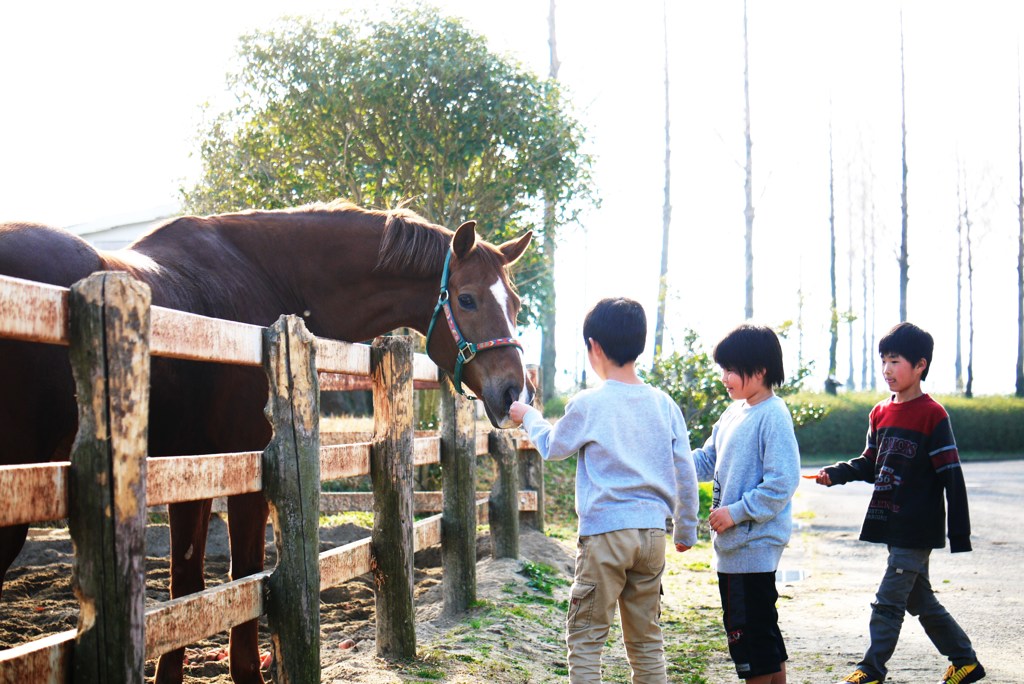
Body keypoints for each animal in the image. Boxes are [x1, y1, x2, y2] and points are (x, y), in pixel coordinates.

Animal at [0, 200, 532, 679]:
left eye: (516, 303)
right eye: (467, 298)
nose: (514, 391)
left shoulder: (192, 472)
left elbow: (185, 588)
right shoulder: (248, 471)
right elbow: (245, 578)